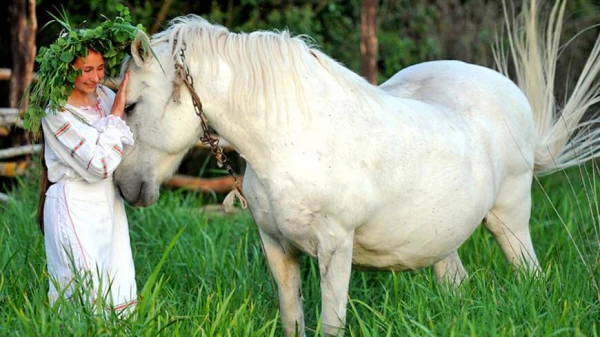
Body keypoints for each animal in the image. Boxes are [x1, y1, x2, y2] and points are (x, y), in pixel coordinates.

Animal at [115, 1, 600, 334]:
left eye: (132, 104)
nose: (123, 186)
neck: (292, 137)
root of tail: (509, 92)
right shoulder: (276, 246)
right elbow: (292, 319)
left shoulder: (335, 247)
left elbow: (331, 323)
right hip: (443, 239)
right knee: (457, 285)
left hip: (510, 219)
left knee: (531, 277)